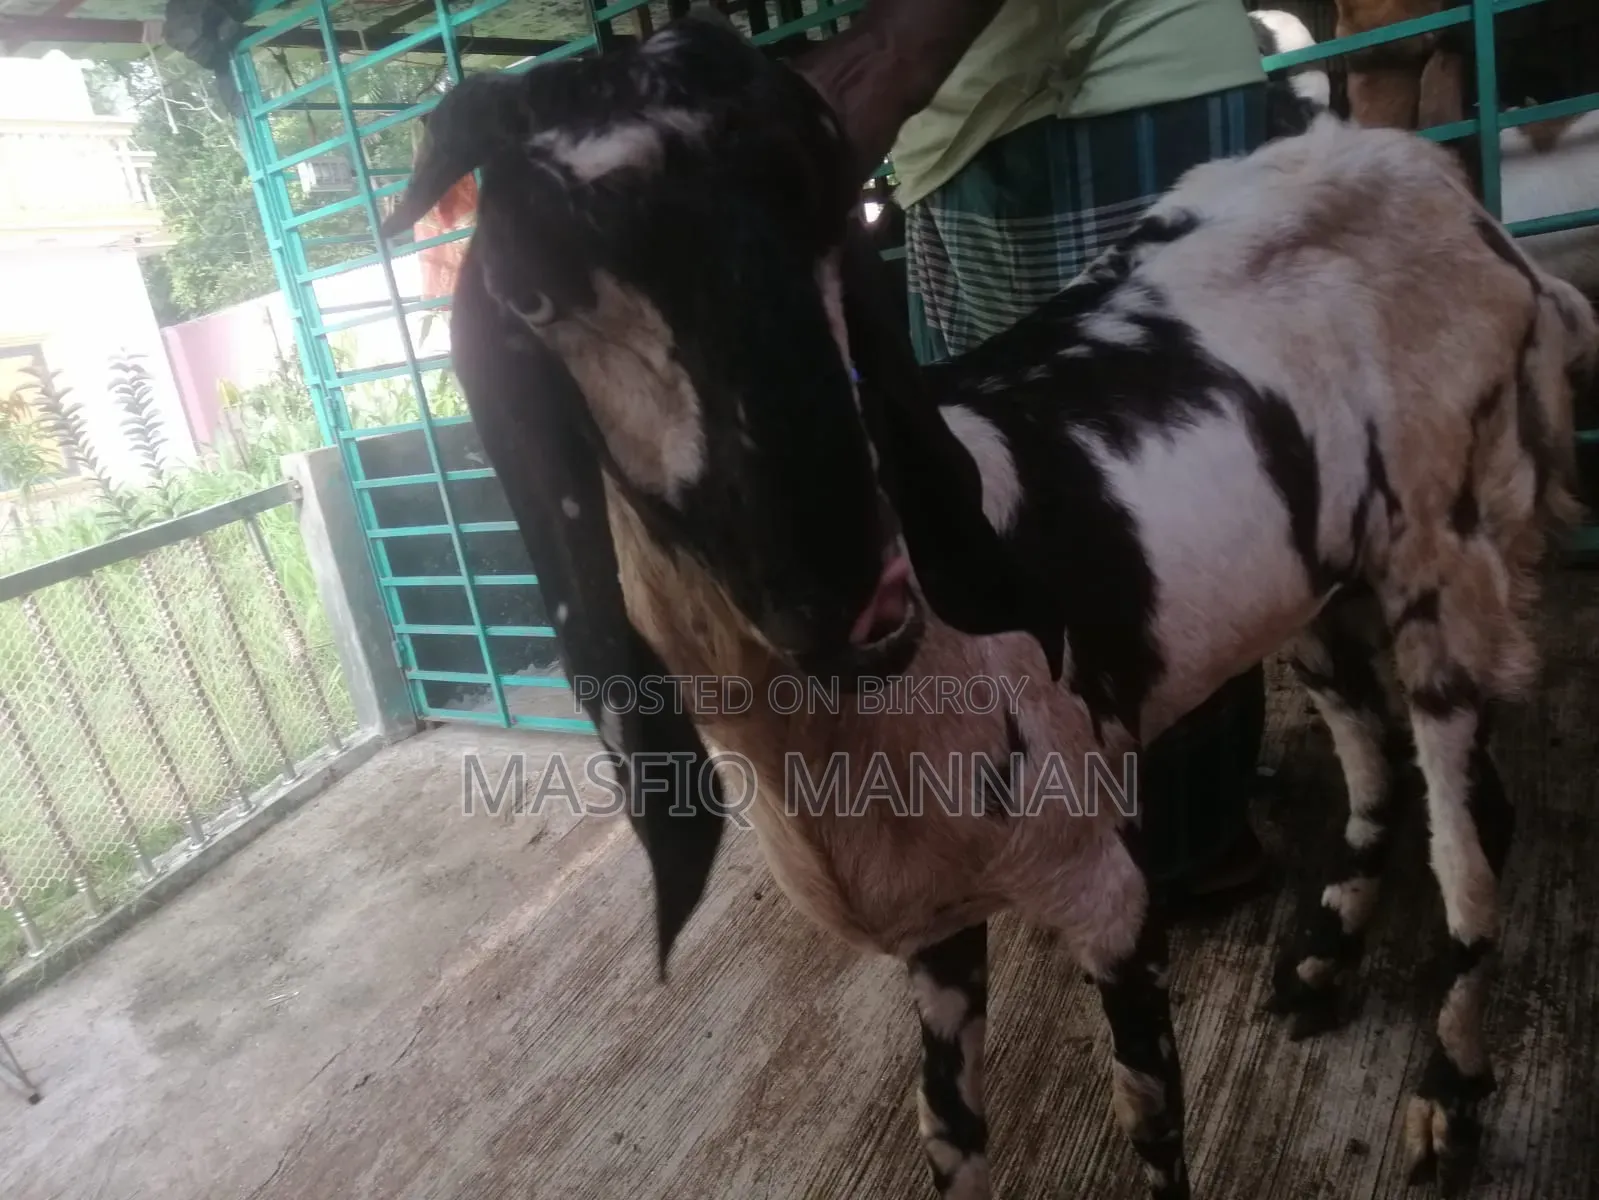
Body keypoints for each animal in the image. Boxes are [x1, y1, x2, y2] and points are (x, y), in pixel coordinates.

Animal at [382, 17, 1597, 1200]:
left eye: (826, 206)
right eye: (532, 290)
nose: (848, 596)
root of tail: (1445, 191)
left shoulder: (1105, 891)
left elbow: (1149, 1124)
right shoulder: (939, 926)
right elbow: (948, 1131)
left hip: (1449, 549)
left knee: (1471, 827)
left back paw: (1447, 1094)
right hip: (1315, 584)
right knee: (1379, 763)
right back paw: (1320, 961)